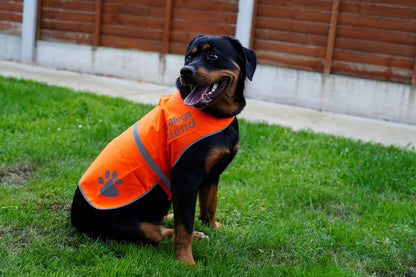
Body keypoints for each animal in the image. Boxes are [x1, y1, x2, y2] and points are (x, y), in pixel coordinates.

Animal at [71, 34, 256, 266]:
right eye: (189, 57)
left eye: (213, 56)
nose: (185, 71)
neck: (216, 115)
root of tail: (74, 218)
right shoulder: (186, 178)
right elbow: (184, 228)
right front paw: (186, 262)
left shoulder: (213, 174)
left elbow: (208, 206)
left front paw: (211, 226)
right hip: (141, 229)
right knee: (161, 231)